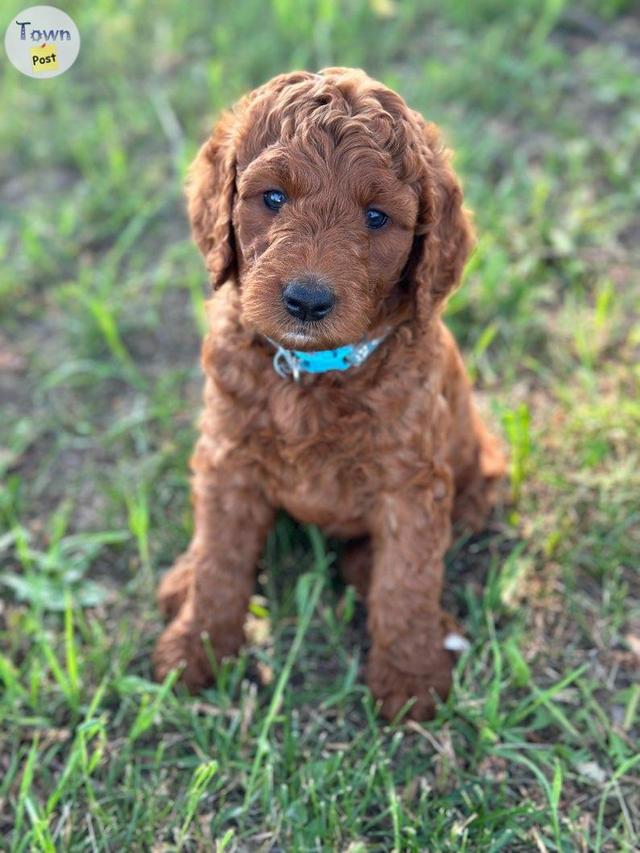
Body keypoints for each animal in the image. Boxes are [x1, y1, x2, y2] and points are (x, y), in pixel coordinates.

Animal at [155, 65, 504, 720]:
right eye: (272, 198)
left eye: (376, 217)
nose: (307, 301)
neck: (312, 372)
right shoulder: (228, 459)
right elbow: (220, 560)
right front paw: (195, 650)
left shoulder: (411, 483)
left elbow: (406, 580)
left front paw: (411, 680)